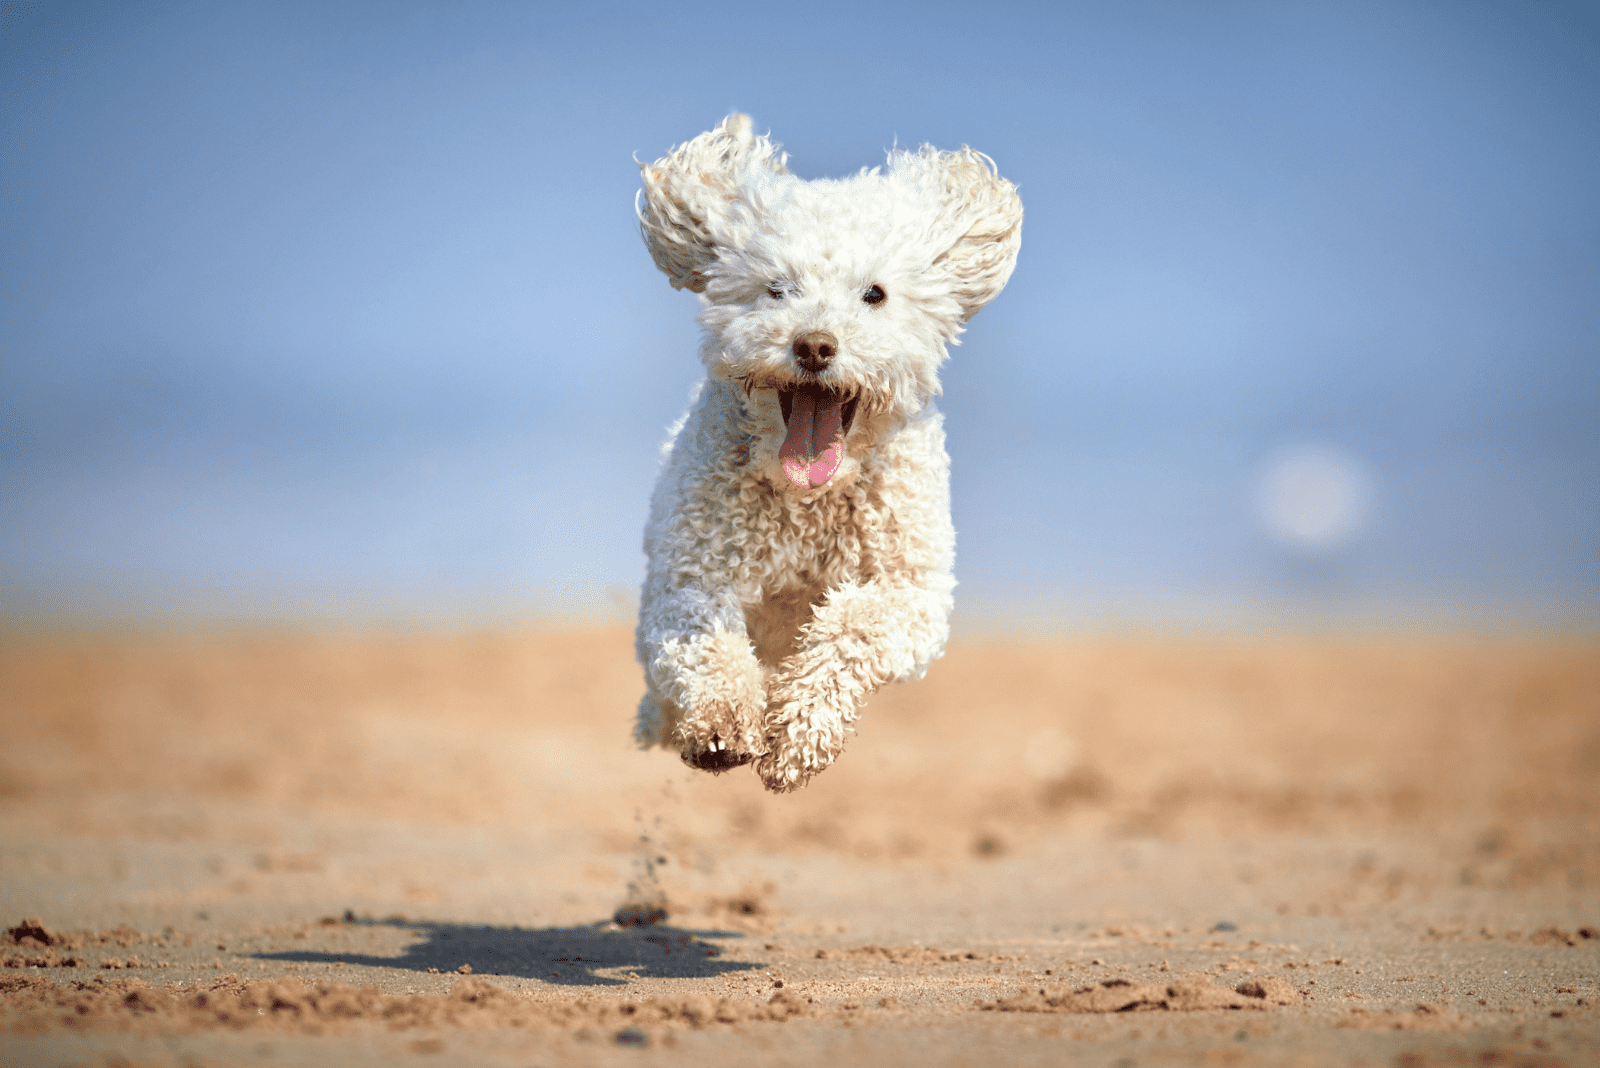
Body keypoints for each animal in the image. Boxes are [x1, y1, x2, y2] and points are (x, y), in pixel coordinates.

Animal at [627, 116, 1017, 793]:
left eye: (875, 294)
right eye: (776, 290)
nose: (814, 345)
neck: (808, 500)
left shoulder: (913, 593)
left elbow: (853, 623)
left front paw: (799, 733)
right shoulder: (689, 576)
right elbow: (704, 641)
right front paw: (722, 723)